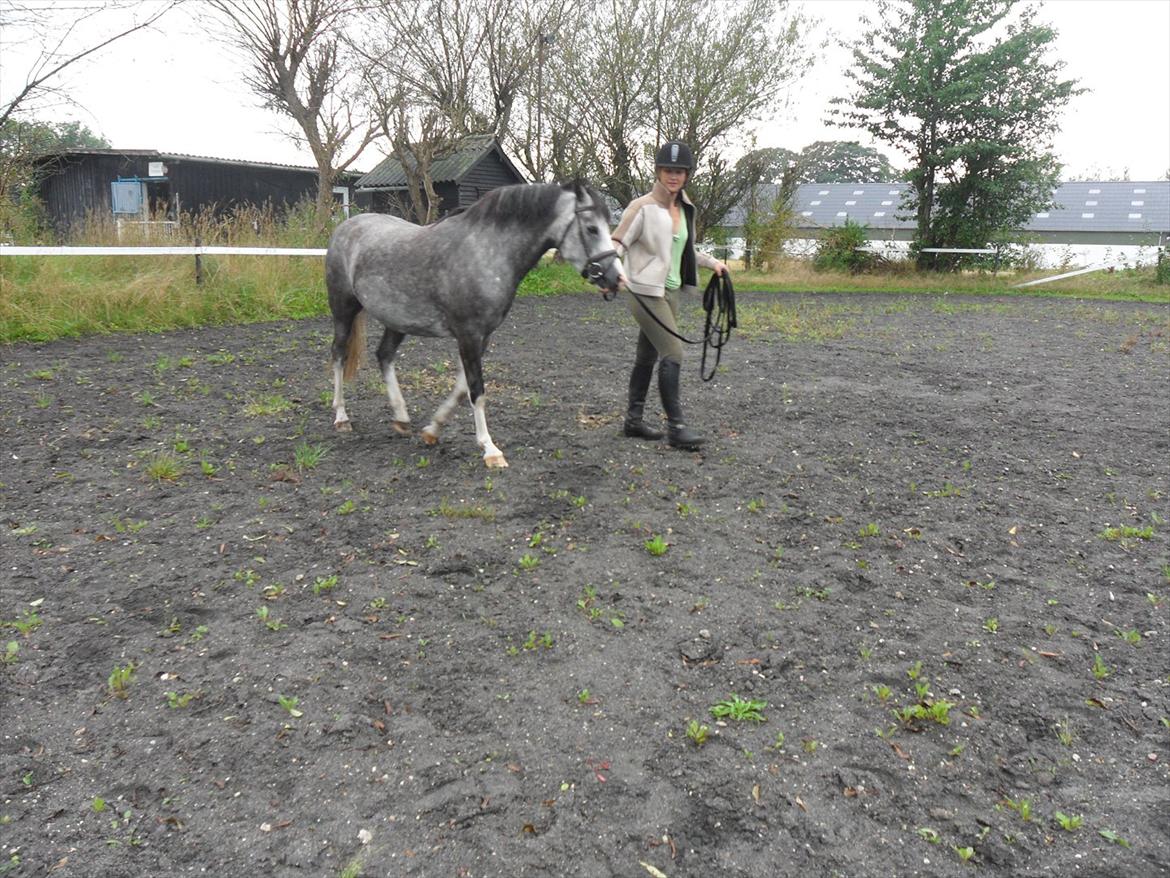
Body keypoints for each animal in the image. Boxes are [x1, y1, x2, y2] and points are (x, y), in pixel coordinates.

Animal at [325, 179, 622, 468]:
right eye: (592, 228)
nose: (615, 278)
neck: (486, 251)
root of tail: (346, 227)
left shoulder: (482, 336)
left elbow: (461, 388)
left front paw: (433, 430)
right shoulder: (468, 334)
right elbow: (477, 390)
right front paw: (490, 450)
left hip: (397, 320)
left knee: (384, 355)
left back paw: (401, 417)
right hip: (344, 310)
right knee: (338, 354)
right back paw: (341, 417)